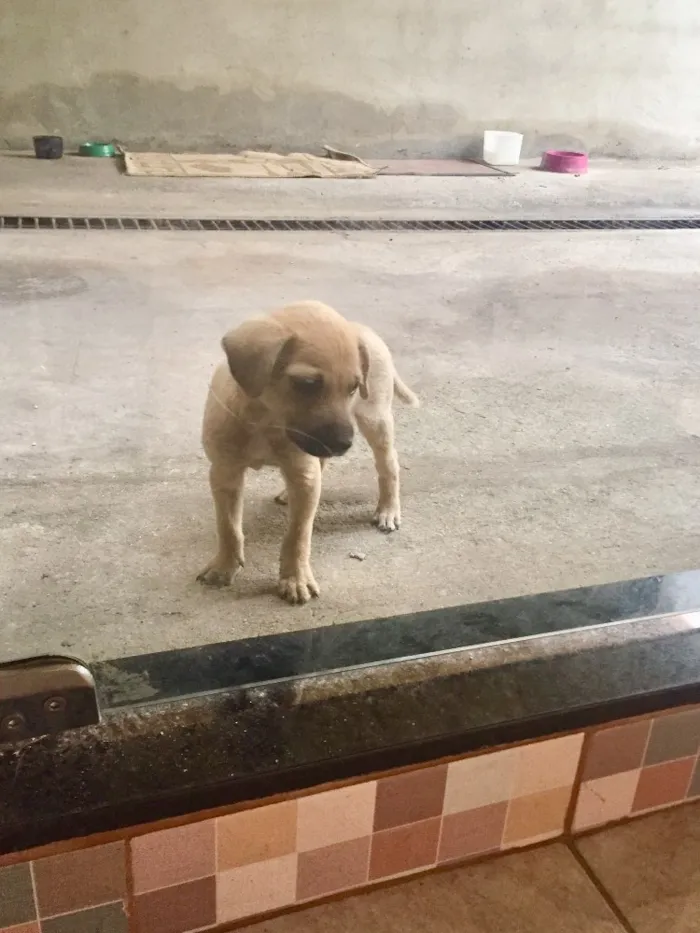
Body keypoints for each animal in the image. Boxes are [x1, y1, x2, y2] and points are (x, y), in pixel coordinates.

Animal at [198, 300, 416, 604]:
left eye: (353, 387)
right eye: (307, 384)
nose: (343, 444)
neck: (265, 422)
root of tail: (363, 329)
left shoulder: (303, 474)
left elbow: (298, 535)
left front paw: (295, 579)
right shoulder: (224, 472)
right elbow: (227, 526)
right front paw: (223, 567)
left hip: (376, 420)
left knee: (388, 465)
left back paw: (388, 510)